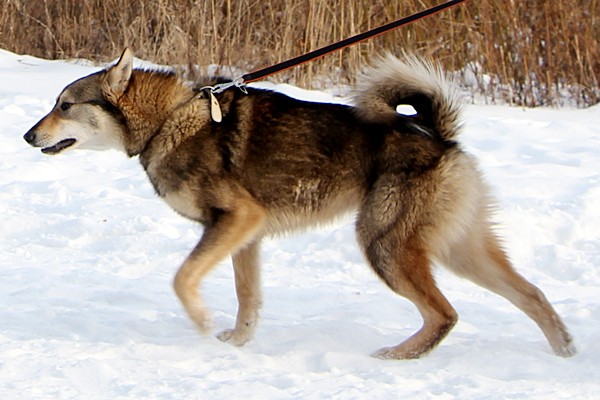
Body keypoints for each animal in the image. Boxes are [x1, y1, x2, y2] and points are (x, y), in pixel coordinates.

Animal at [23, 49, 575, 359]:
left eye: (64, 105)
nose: (28, 136)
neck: (171, 120)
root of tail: (439, 138)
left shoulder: (236, 221)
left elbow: (182, 279)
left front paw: (201, 321)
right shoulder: (245, 234)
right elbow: (247, 299)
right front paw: (238, 343)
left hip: (384, 245)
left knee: (445, 315)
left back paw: (400, 355)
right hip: (460, 248)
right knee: (531, 294)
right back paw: (564, 349)